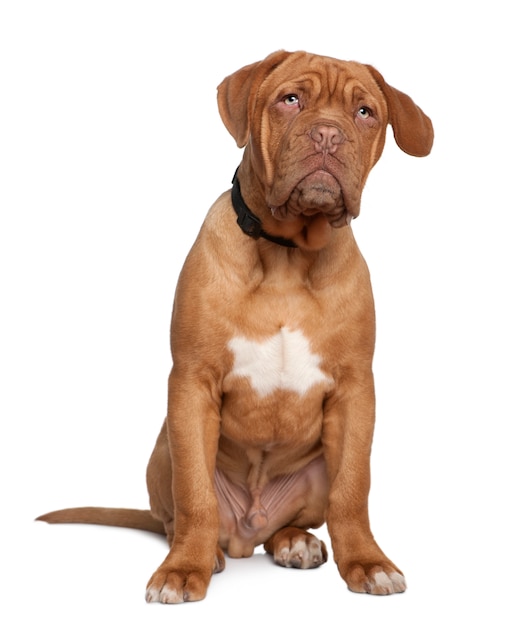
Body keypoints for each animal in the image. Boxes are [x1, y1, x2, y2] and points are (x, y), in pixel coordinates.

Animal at [37, 50, 436, 600]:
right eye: (290, 100)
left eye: (365, 112)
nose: (328, 135)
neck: (288, 255)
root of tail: (249, 530)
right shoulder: (191, 384)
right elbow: (196, 494)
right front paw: (182, 570)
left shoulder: (356, 392)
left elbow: (353, 490)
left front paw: (367, 562)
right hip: (164, 449)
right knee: (179, 514)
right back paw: (204, 552)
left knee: (293, 522)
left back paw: (293, 542)